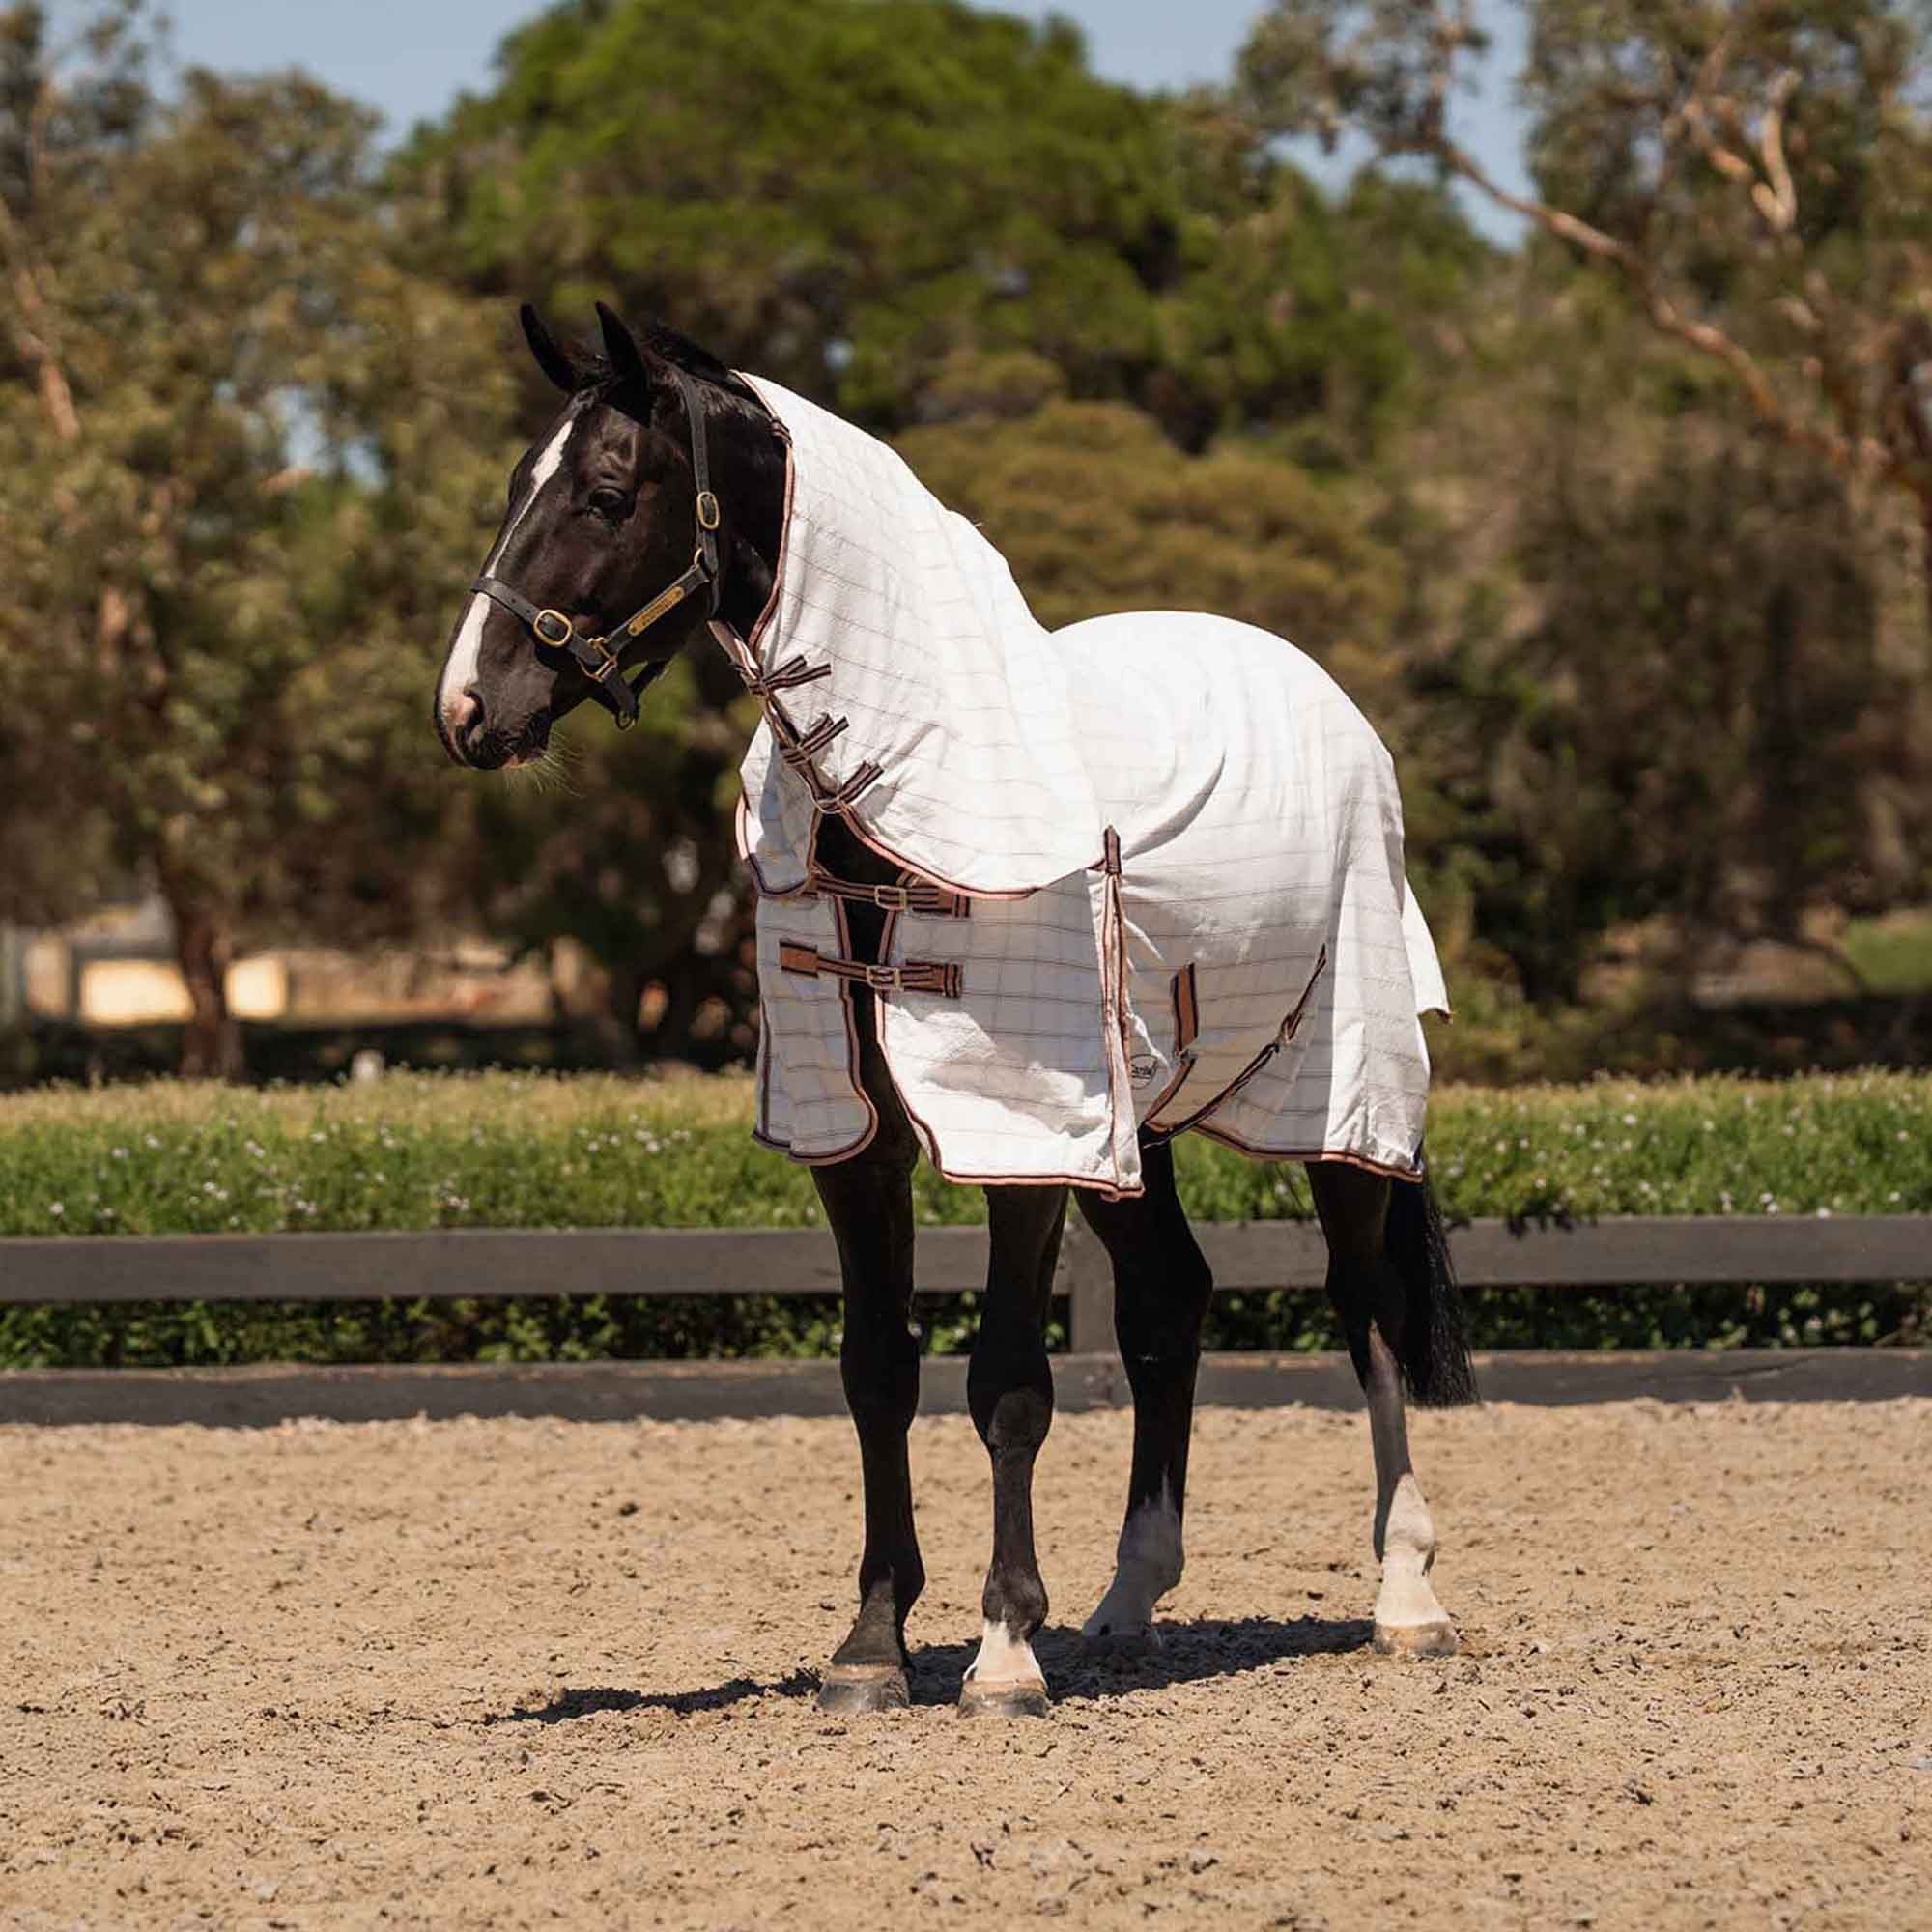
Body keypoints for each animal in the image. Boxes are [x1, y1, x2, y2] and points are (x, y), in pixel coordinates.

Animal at [432, 303, 1478, 1719]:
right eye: (511, 488)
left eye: (604, 491)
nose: (468, 708)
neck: (890, 798)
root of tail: (1338, 713)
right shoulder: (859, 1132)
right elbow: (878, 1367)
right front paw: (873, 1644)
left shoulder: (1019, 1133)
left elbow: (1010, 1383)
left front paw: (1002, 1649)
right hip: (1136, 1127)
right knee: (1169, 1303)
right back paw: (1128, 1597)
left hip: (1335, 1100)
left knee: (1364, 1309)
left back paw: (1404, 1595)